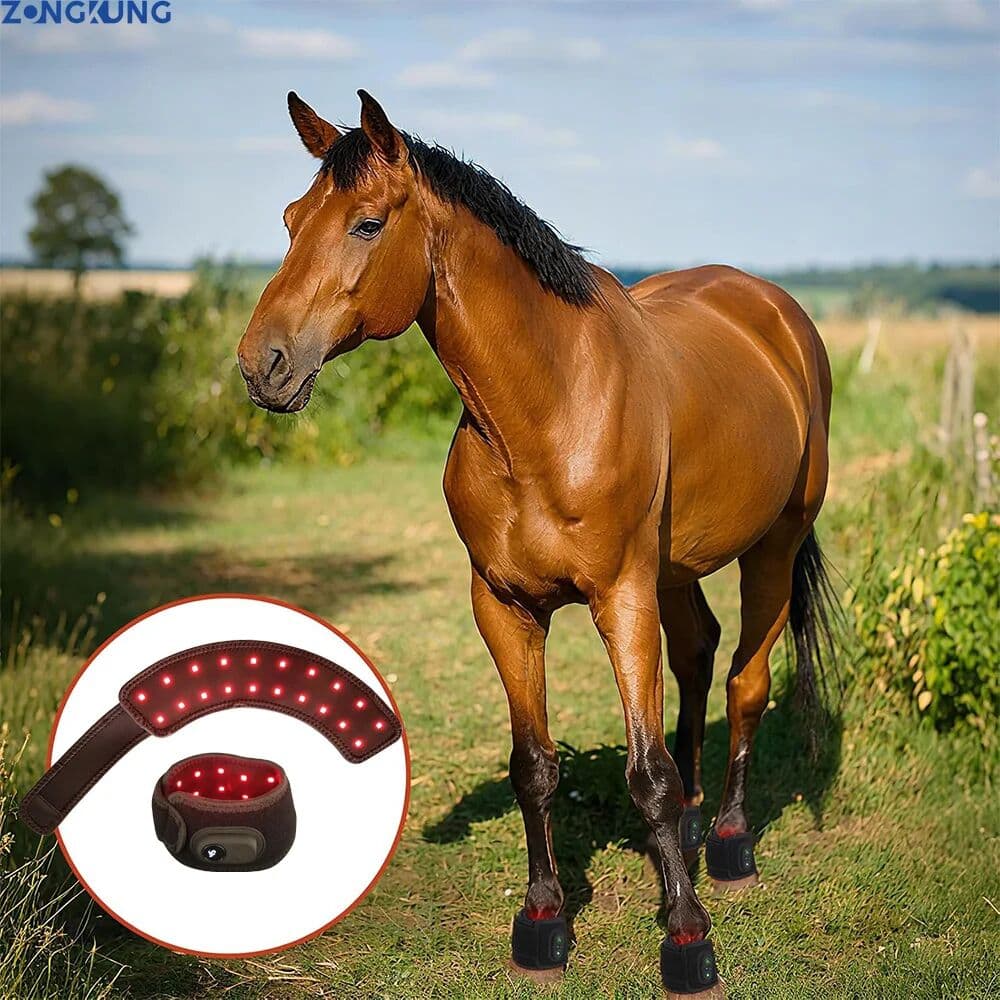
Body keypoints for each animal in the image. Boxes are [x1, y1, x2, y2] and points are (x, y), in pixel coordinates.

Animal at [238, 89, 836, 997]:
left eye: (367, 224)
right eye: (289, 218)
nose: (261, 363)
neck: (547, 409)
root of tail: (776, 313)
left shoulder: (620, 599)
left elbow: (646, 773)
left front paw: (687, 937)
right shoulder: (506, 605)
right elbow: (535, 766)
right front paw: (545, 919)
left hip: (769, 546)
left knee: (745, 682)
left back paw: (730, 845)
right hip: (674, 571)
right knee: (700, 657)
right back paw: (697, 831)